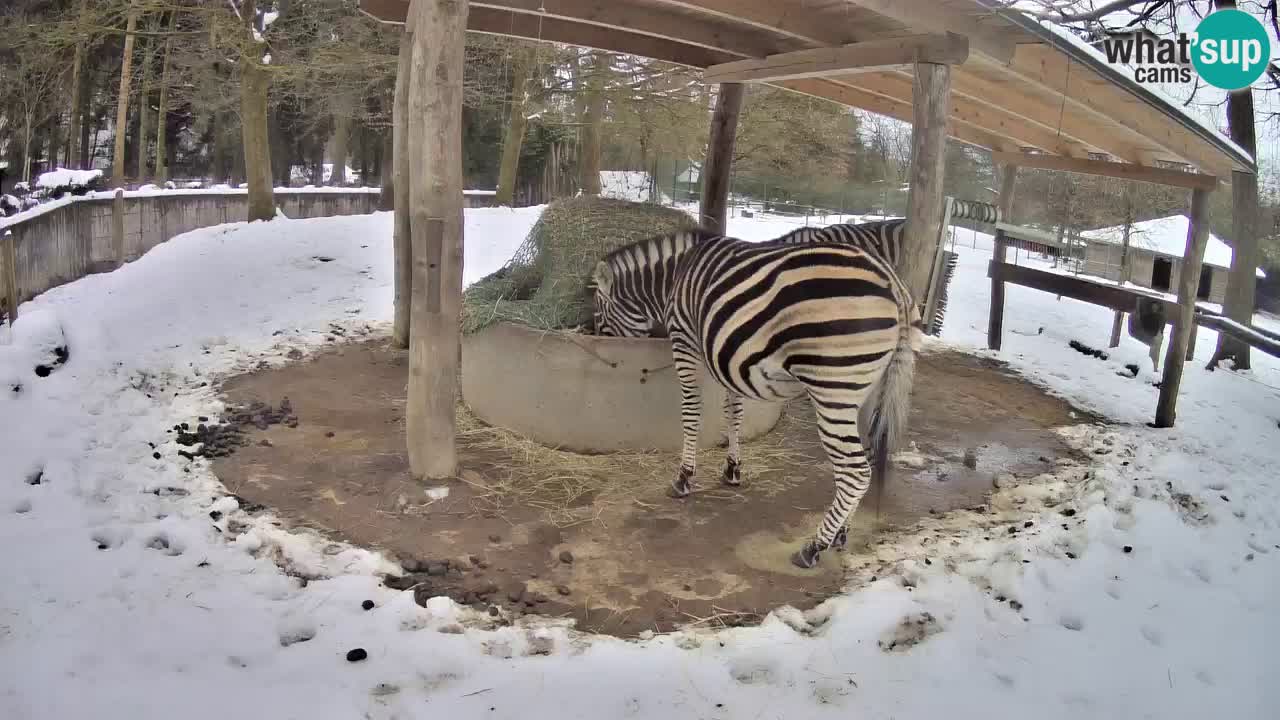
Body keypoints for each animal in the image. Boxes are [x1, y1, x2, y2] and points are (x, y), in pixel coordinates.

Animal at [591, 229, 922, 568]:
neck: (675, 276)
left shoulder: (686, 339)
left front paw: (683, 478)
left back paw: (813, 547)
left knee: (856, 472)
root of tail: (892, 283)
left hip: (834, 388)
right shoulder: (727, 356)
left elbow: (692, 410)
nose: (597, 340)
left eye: (598, 313)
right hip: (870, 388)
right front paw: (732, 470)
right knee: (866, 457)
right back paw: (841, 533)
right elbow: (734, 411)